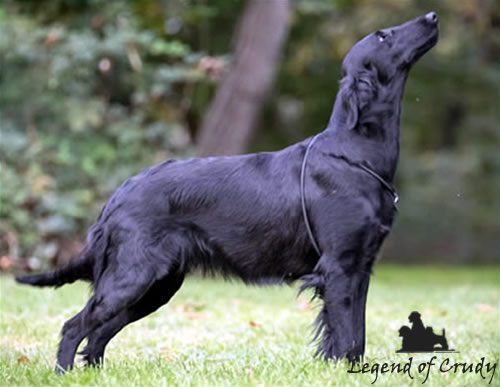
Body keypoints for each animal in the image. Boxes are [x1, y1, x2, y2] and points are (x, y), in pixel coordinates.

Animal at [16, 13, 438, 374]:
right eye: (383, 36)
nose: (432, 16)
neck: (354, 153)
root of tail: (118, 194)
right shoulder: (338, 266)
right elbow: (345, 334)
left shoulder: (361, 266)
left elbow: (358, 335)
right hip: (133, 277)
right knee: (75, 326)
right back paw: (64, 374)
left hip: (157, 285)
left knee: (98, 333)